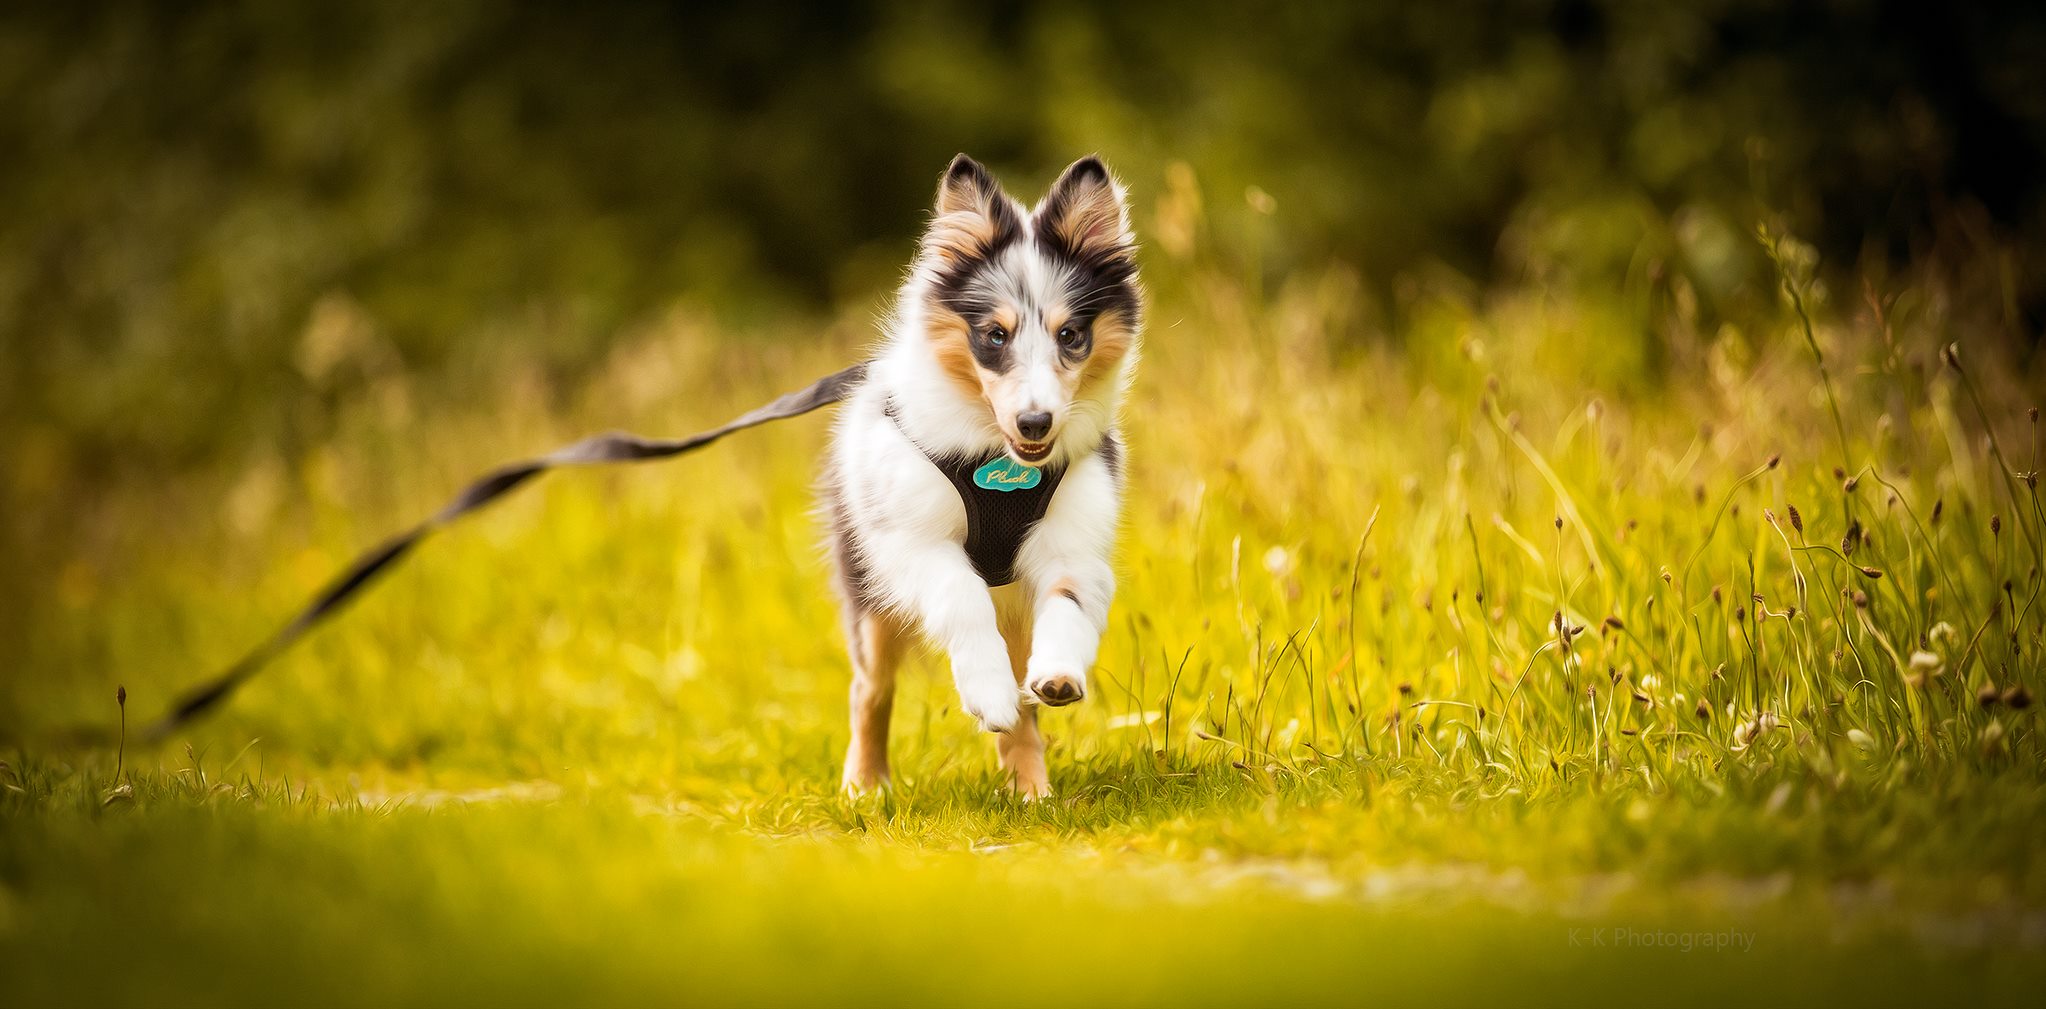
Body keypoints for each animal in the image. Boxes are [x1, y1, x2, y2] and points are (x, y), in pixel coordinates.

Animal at [822, 155, 1145, 794]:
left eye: (1071, 335)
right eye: (995, 335)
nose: (1036, 421)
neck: (1002, 462)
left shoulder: (1074, 543)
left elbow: (1068, 599)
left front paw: (1058, 674)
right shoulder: (911, 541)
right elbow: (961, 592)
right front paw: (987, 691)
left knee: (1023, 716)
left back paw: (1032, 792)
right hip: (868, 591)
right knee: (870, 687)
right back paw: (864, 786)